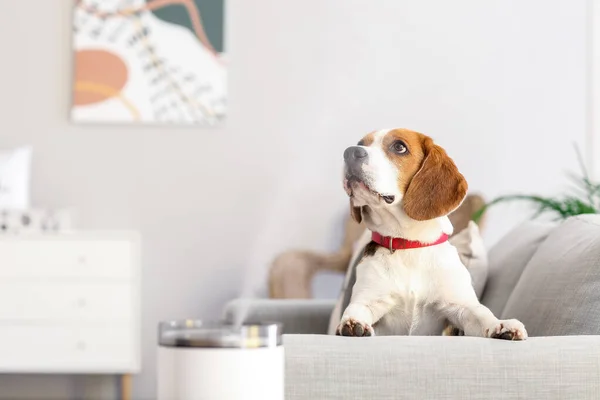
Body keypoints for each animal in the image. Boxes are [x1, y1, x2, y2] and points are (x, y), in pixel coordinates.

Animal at [336, 129, 528, 340]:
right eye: (361, 143)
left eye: (399, 147)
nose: (350, 152)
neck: (409, 245)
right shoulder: (369, 299)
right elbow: (356, 309)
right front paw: (352, 323)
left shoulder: (460, 307)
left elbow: (482, 313)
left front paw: (501, 325)